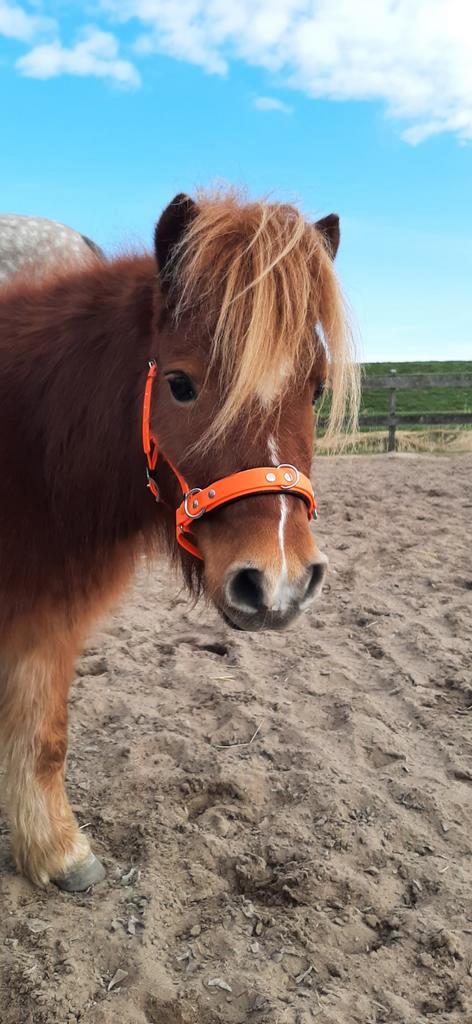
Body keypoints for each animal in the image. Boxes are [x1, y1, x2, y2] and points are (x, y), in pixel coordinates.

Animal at [0, 191, 358, 892]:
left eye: (318, 388)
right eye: (181, 384)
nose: (277, 583)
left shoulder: (45, 614)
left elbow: (42, 735)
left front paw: (56, 852)